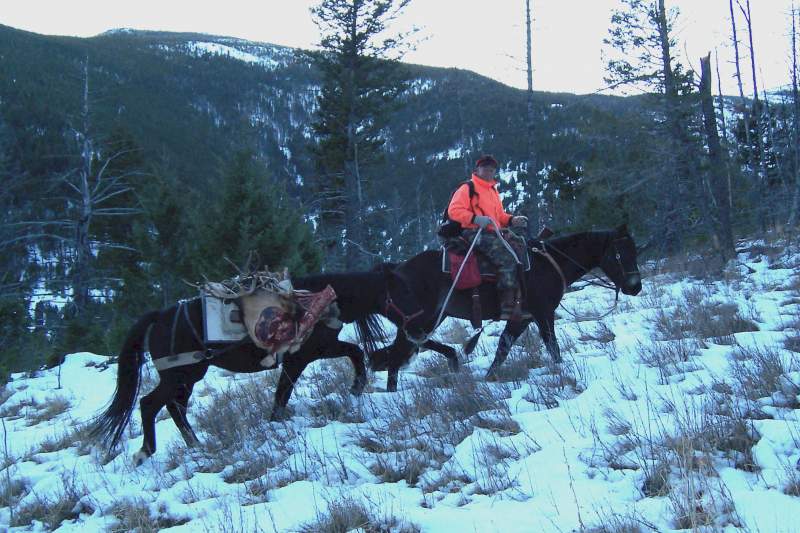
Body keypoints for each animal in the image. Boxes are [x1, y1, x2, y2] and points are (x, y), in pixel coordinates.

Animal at [90, 268, 424, 464]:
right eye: (403, 291)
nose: (420, 326)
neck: (320, 302)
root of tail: (160, 316)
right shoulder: (302, 357)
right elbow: (283, 391)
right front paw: (277, 421)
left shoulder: (320, 350)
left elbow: (354, 353)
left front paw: (356, 387)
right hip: (179, 375)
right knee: (150, 404)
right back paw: (146, 452)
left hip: (190, 375)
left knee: (175, 406)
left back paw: (195, 444)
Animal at [370, 222, 644, 388]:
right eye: (618, 254)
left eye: (635, 251)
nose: (635, 287)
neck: (548, 264)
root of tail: (393, 270)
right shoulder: (543, 314)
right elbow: (552, 347)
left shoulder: (521, 318)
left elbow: (503, 348)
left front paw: (489, 378)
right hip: (422, 319)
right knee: (402, 349)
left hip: (426, 319)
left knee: (401, 350)